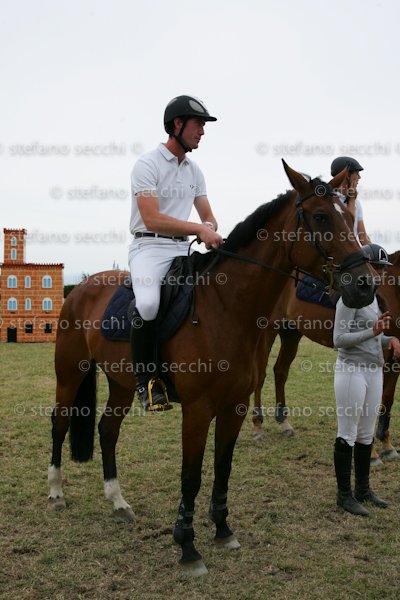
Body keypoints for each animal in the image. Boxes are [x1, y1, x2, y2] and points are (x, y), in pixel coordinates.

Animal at [48, 162, 377, 576]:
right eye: (320, 217)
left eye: (349, 216)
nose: (365, 285)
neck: (225, 306)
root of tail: (81, 286)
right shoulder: (198, 409)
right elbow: (191, 476)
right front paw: (188, 547)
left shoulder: (234, 405)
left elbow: (223, 467)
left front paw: (223, 530)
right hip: (69, 373)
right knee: (59, 423)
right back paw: (56, 492)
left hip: (121, 383)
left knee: (107, 430)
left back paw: (118, 501)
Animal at [252, 251, 400, 464]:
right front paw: (372, 453)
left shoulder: (395, 358)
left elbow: (386, 399)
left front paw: (387, 445)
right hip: (267, 331)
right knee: (261, 375)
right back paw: (258, 425)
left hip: (291, 333)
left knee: (280, 371)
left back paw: (284, 422)